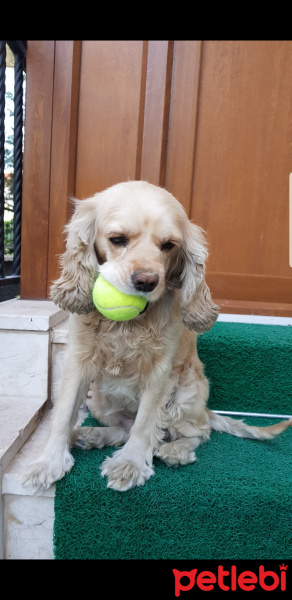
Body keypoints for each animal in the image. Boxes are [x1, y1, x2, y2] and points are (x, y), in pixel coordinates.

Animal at [22, 179, 292, 492]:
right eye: (117, 239)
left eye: (168, 245)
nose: (146, 281)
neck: (129, 325)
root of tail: (204, 409)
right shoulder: (78, 361)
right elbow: (63, 414)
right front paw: (48, 462)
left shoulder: (161, 371)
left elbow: (145, 422)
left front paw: (131, 464)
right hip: (97, 399)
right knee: (124, 429)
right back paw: (91, 435)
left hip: (188, 391)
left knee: (195, 432)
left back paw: (175, 451)